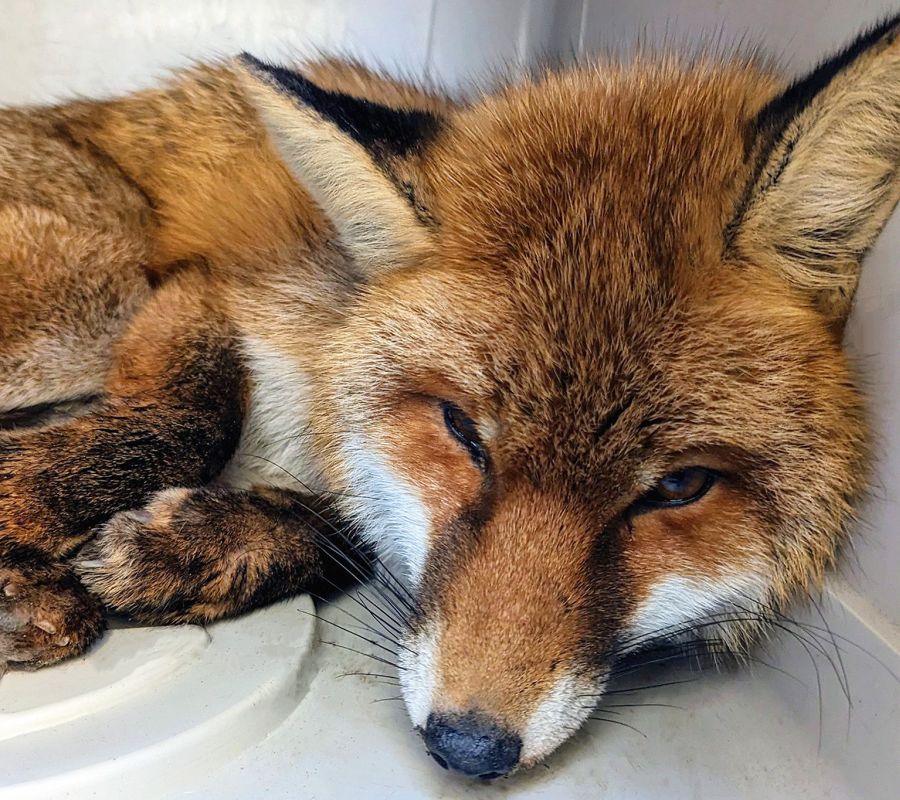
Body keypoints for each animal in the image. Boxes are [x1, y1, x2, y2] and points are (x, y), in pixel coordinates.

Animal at [0, 10, 896, 780]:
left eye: (680, 487)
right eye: (462, 429)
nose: (468, 747)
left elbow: (347, 534)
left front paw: (197, 548)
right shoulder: (206, 290)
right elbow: (191, 419)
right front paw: (26, 511)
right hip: (95, 288)